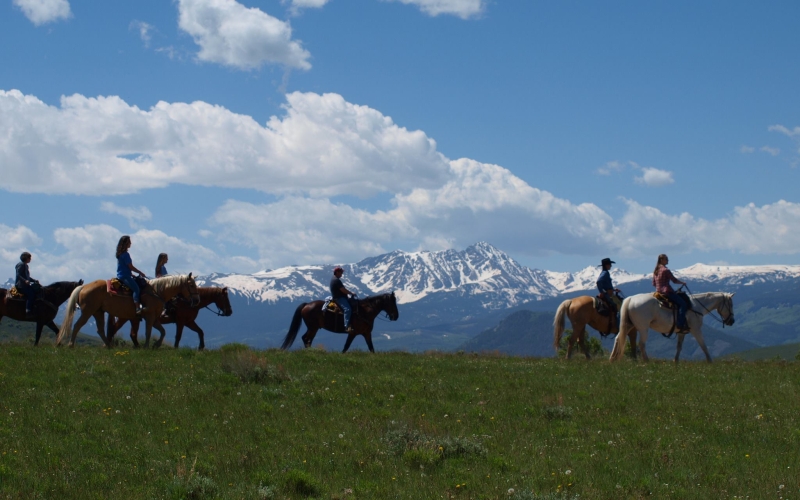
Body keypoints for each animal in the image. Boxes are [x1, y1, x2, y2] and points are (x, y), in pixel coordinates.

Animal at [56, 274, 200, 348]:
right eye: (191, 285)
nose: (196, 300)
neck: (156, 291)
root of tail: (84, 286)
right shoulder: (149, 316)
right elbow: (148, 332)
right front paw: (147, 347)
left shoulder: (154, 318)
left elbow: (162, 332)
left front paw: (156, 345)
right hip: (88, 312)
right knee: (77, 325)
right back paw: (70, 345)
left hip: (98, 312)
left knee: (100, 330)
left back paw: (109, 346)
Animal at [608, 290, 736, 364]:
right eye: (731, 304)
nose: (732, 321)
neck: (696, 307)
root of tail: (630, 299)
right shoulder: (696, 330)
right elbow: (703, 345)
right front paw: (710, 361)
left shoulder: (681, 332)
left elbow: (679, 347)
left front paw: (675, 361)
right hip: (643, 328)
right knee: (641, 343)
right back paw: (647, 361)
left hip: (628, 325)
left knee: (618, 338)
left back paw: (612, 358)